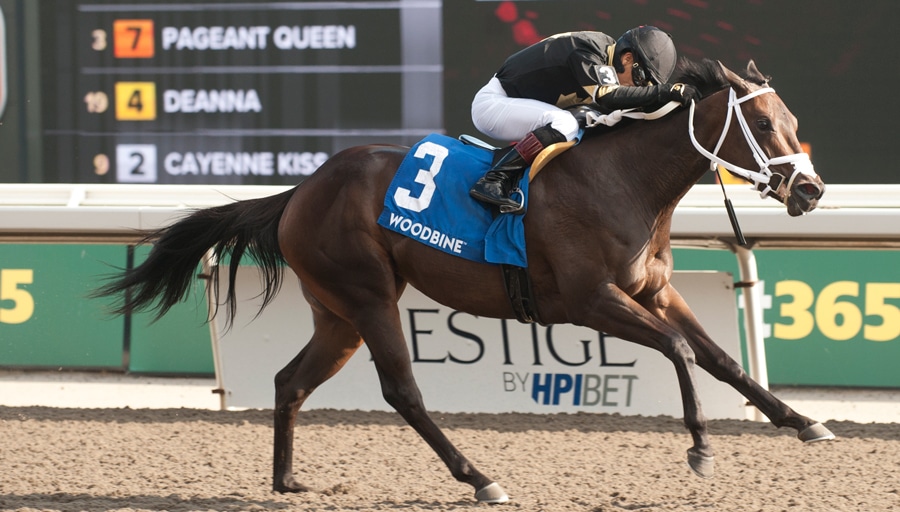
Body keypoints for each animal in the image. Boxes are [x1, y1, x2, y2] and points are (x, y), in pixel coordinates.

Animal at [95, 58, 830, 504]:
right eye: (761, 123)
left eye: (794, 123)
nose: (812, 190)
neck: (623, 181)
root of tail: (301, 190)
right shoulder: (588, 301)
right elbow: (680, 351)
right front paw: (701, 447)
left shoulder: (653, 292)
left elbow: (721, 358)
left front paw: (802, 422)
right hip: (368, 297)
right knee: (402, 391)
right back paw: (480, 479)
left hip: (337, 313)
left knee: (290, 381)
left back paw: (288, 480)